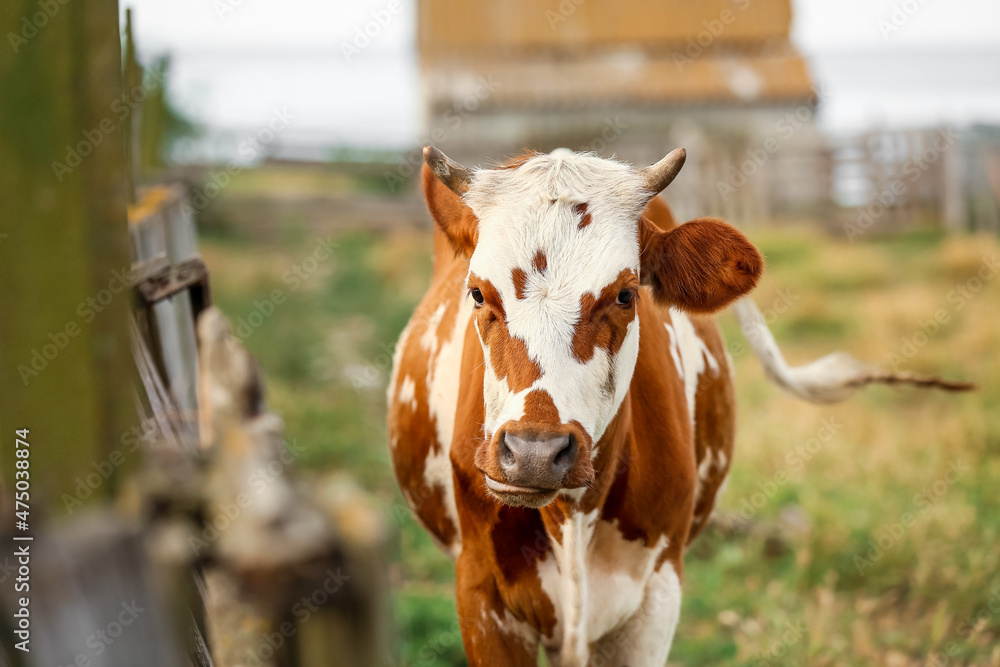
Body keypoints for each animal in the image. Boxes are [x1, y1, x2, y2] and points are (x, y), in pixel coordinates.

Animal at [384, 146, 968, 667]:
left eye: (625, 294)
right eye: (478, 294)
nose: (534, 452)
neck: (571, 518)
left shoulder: (656, 599)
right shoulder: (482, 598)